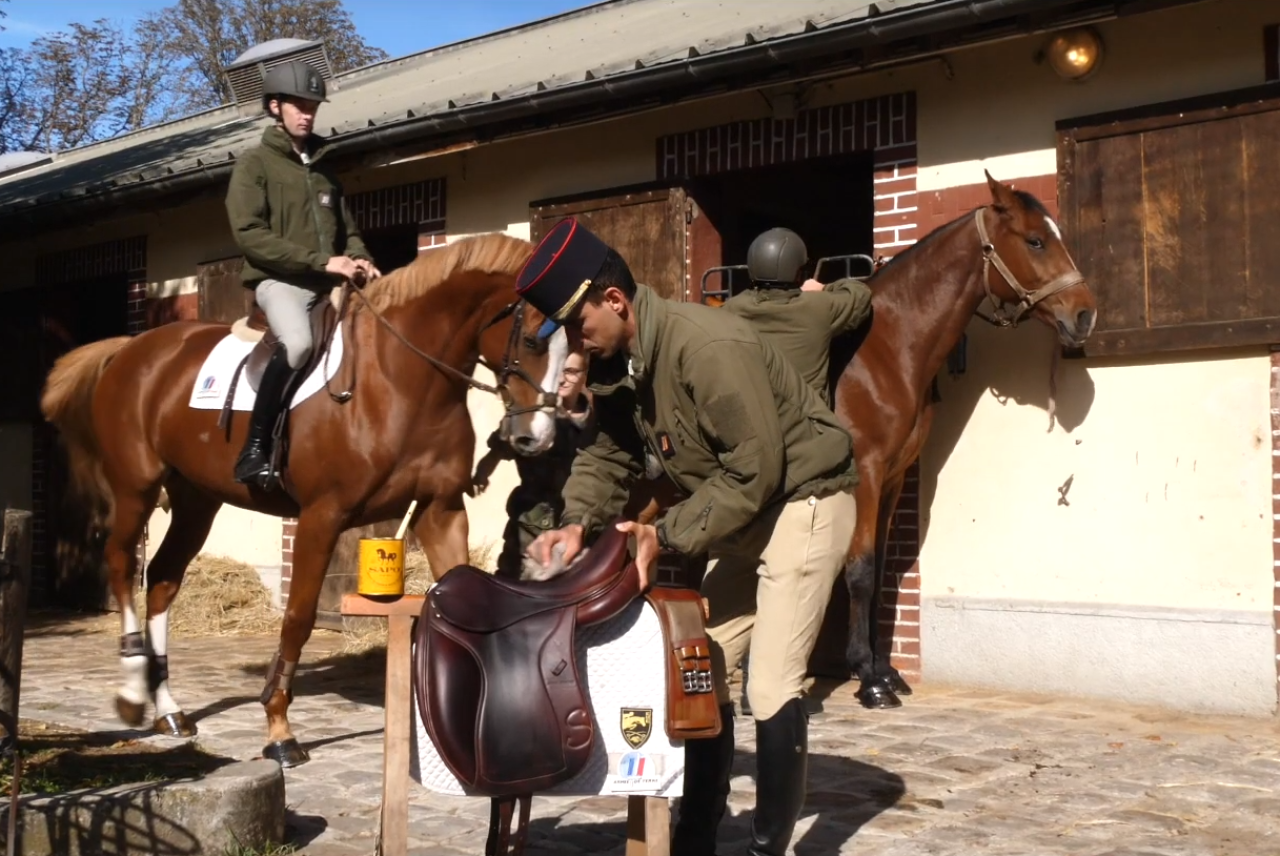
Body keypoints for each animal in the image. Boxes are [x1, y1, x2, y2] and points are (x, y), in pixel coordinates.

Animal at [38, 231, 565, 762]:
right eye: (533, 339)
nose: (537, 437)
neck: (398, 378)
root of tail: (132, 348)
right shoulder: (322, 517)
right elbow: (298, 618)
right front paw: (278, 729)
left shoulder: (441, 512)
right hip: (136, 487)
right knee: (122, 563)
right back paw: (131, 693)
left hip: (196, 500)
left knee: (163, 579)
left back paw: (168, 710)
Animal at [624, 171, 1095, 706]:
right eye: (1035, 241)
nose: (1084, 314)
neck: (884, 350)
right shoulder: (863, 475)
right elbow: (861, 571)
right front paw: (868, 679)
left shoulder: (892, 478)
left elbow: (883, 570)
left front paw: (885, 670)